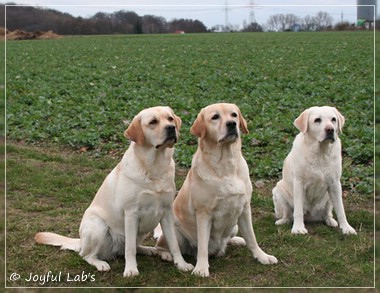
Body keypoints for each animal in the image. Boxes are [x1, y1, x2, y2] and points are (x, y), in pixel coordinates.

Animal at [34, 106, 194, 274]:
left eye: (170, 118)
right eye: (153, 122)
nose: (171, 128)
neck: (154, 168)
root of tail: (81, 242)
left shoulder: (167, 211)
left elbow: (174, 243)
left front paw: (181, 264)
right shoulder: (131, 213)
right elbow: (129, 249)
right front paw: (131, 270)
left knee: (132, 246)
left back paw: (151, 250)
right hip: (98, 226)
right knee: (87, 255)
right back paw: (100, 263)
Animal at [156, 102, 278, 276]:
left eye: (234, 115)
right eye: (215, 117)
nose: (232, 124)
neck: (226, 165)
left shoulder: (244, 208)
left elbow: (252, 238)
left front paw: (262, 256)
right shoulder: (203, 213)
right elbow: (202, 246)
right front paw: (201, 268)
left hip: (234, 226)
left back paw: (237, 240)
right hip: (175, 230)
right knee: (163, 245)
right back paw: (166, 254)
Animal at [274, 106, 356, 234]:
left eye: (333, 119)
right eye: (317, 120)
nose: (330, 130)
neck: (321, 153)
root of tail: (309, 216)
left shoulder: (335, 184)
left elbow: (341, 210)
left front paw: (346, 228)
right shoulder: (299, 183)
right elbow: (298, 209)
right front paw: (298, 228)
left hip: (329, 197)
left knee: (328, 214)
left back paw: (331, 221)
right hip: (278, 191)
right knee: (288, 214)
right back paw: (283, 221)